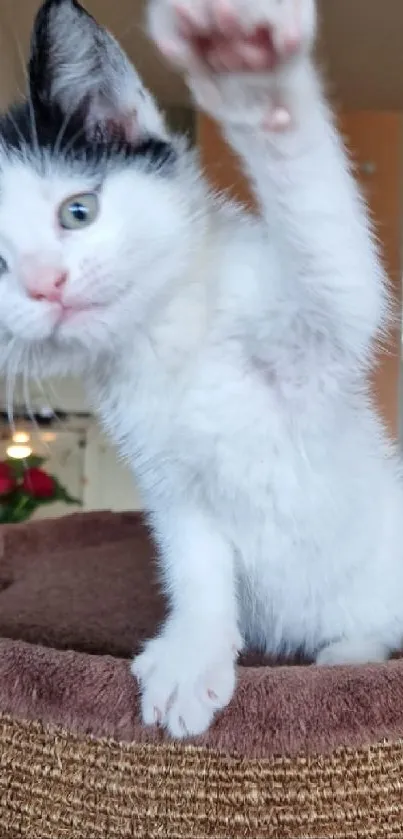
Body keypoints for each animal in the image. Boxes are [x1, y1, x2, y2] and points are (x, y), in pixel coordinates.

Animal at [0, 0, 403, 740]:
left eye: (78, 211)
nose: (47, 286)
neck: (166, 339)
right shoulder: (169, 480)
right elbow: (195, 560)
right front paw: (194, 654)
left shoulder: (323, 322)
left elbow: (328, 249)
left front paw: (248, 74)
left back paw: (348, 652)